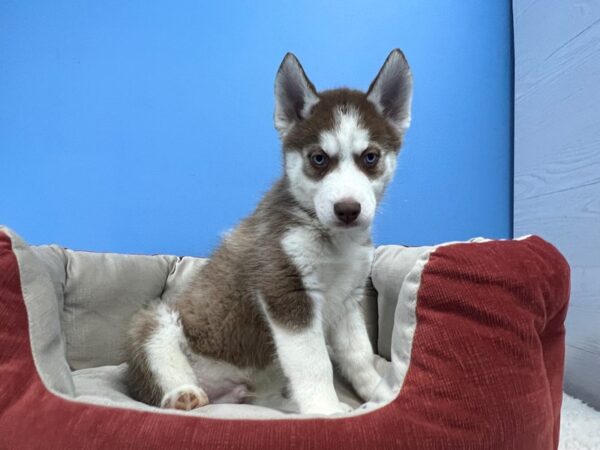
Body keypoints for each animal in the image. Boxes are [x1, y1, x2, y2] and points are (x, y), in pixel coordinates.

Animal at [124, 49, 410, 414]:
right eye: (318, 159)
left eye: (370, 157)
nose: (347, 210)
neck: (333, 242)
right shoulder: (285, 292)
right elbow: (315, 362)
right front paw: (326, 410)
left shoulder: (348, 301)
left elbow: (359, 355)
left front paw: (378, 394)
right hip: (155, 321)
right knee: (158, 358)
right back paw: (182, 394)